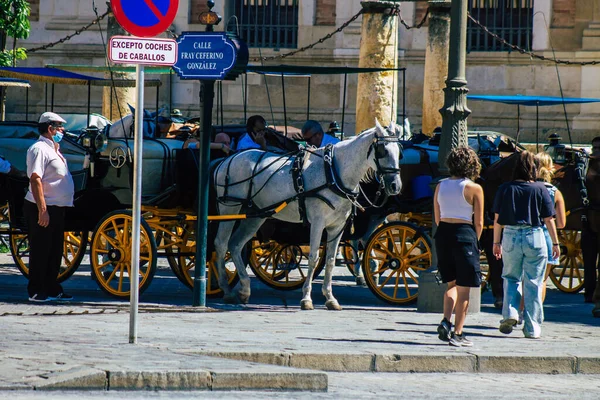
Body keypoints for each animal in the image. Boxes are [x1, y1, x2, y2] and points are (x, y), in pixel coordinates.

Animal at [211, 119, 404, 310]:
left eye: (399, 152)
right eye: (383, 151)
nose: (395, 186)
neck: (334, 172)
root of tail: (227, 159)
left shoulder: (337, 227)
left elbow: (330, 260)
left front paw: (330, 298)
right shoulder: (318, 223)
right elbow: (313, 258)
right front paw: (306, 298)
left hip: (256, 215)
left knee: (235, 244)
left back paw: (244, 289)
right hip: (230, 208)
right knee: (220, 244)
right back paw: (226, 289)